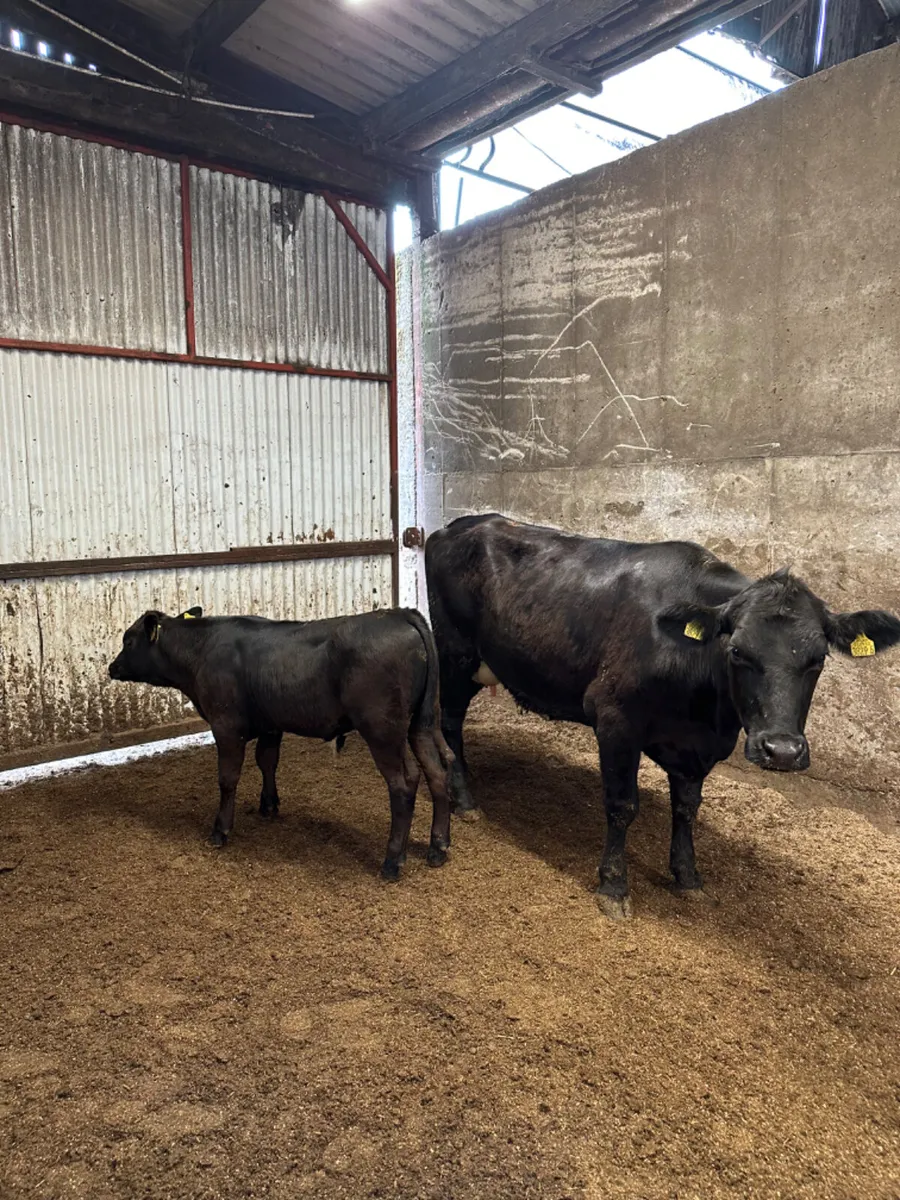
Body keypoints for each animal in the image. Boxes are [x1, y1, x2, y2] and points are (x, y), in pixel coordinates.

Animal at [108, 606, 453, 881]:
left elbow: (228, 779)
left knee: (404, 783)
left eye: (128, 641)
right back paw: (438, 847)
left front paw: (220, 830)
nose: (112, 667)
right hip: (421, 724)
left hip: (383, 730)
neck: (202, 650)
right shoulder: (271, 725)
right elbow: (267, 761)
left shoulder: (226, 726)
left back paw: (393, 861)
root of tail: (399, 613)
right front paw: (269, 804)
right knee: (437, 772)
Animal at [425, 513, 900, 919]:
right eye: (737, 652)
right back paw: (465, 800)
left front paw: (687, 876)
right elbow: (622, 806)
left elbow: (687, 808)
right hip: (455, 654)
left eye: (818, 659)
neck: (705, 713)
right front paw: (613, 886)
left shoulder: (698, 745)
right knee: (449, 724)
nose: (781, 751)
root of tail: (459, 524)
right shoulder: (615, 718)